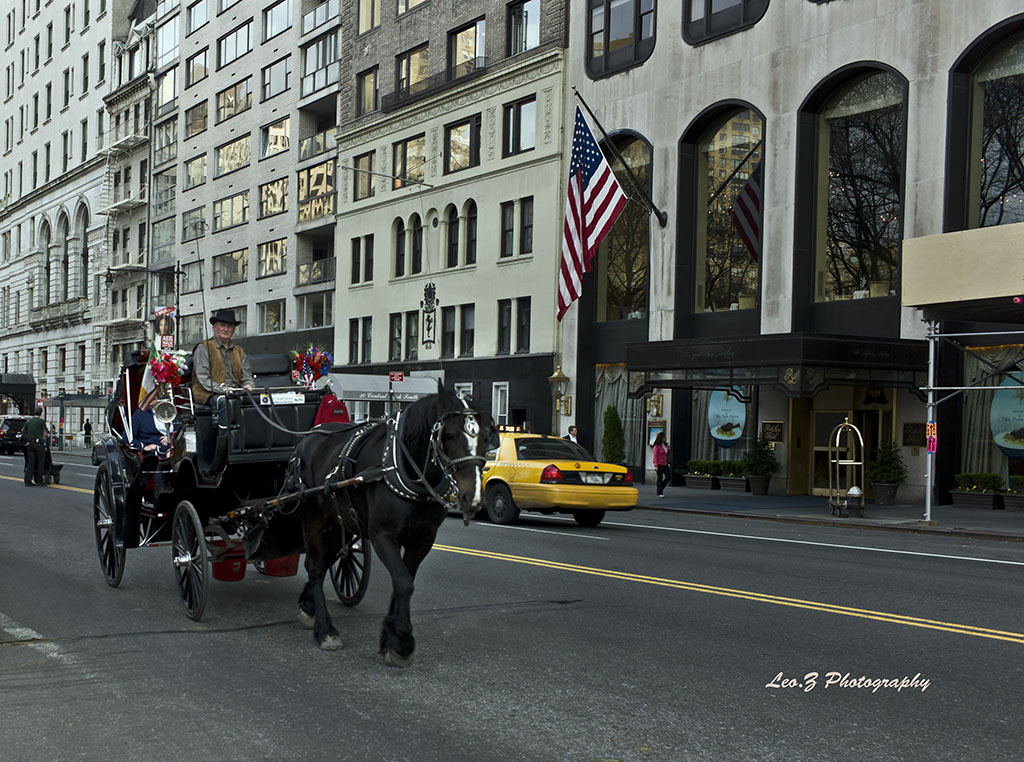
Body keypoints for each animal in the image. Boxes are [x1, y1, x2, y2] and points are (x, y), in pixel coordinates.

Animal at [288, 383, 495, 663]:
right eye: (450, 435)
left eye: (485, 437)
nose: (471, 497)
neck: (407, 470)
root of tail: (307, 439)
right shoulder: (382, 535)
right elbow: (403, 582)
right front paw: (402, 641)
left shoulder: (423, 538)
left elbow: (404, 581)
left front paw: (394, 638)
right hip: (312, 516)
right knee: (317, 568)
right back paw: (326, 629)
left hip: (339, 521)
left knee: (324, 559)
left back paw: (308, 606)